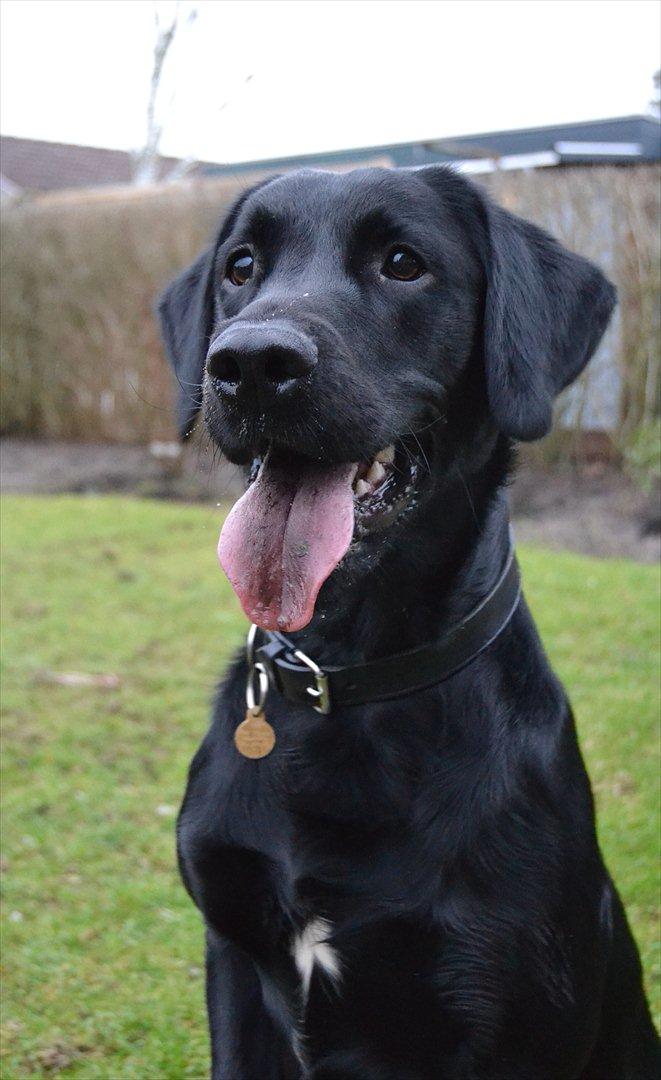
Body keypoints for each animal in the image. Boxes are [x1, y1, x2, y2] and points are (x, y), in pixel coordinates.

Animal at [157, 168, 656, 1080]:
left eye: (402, 263)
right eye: (240, 266)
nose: (249, 363)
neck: (345, 676)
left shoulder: (501, 1011)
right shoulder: (234, 961)